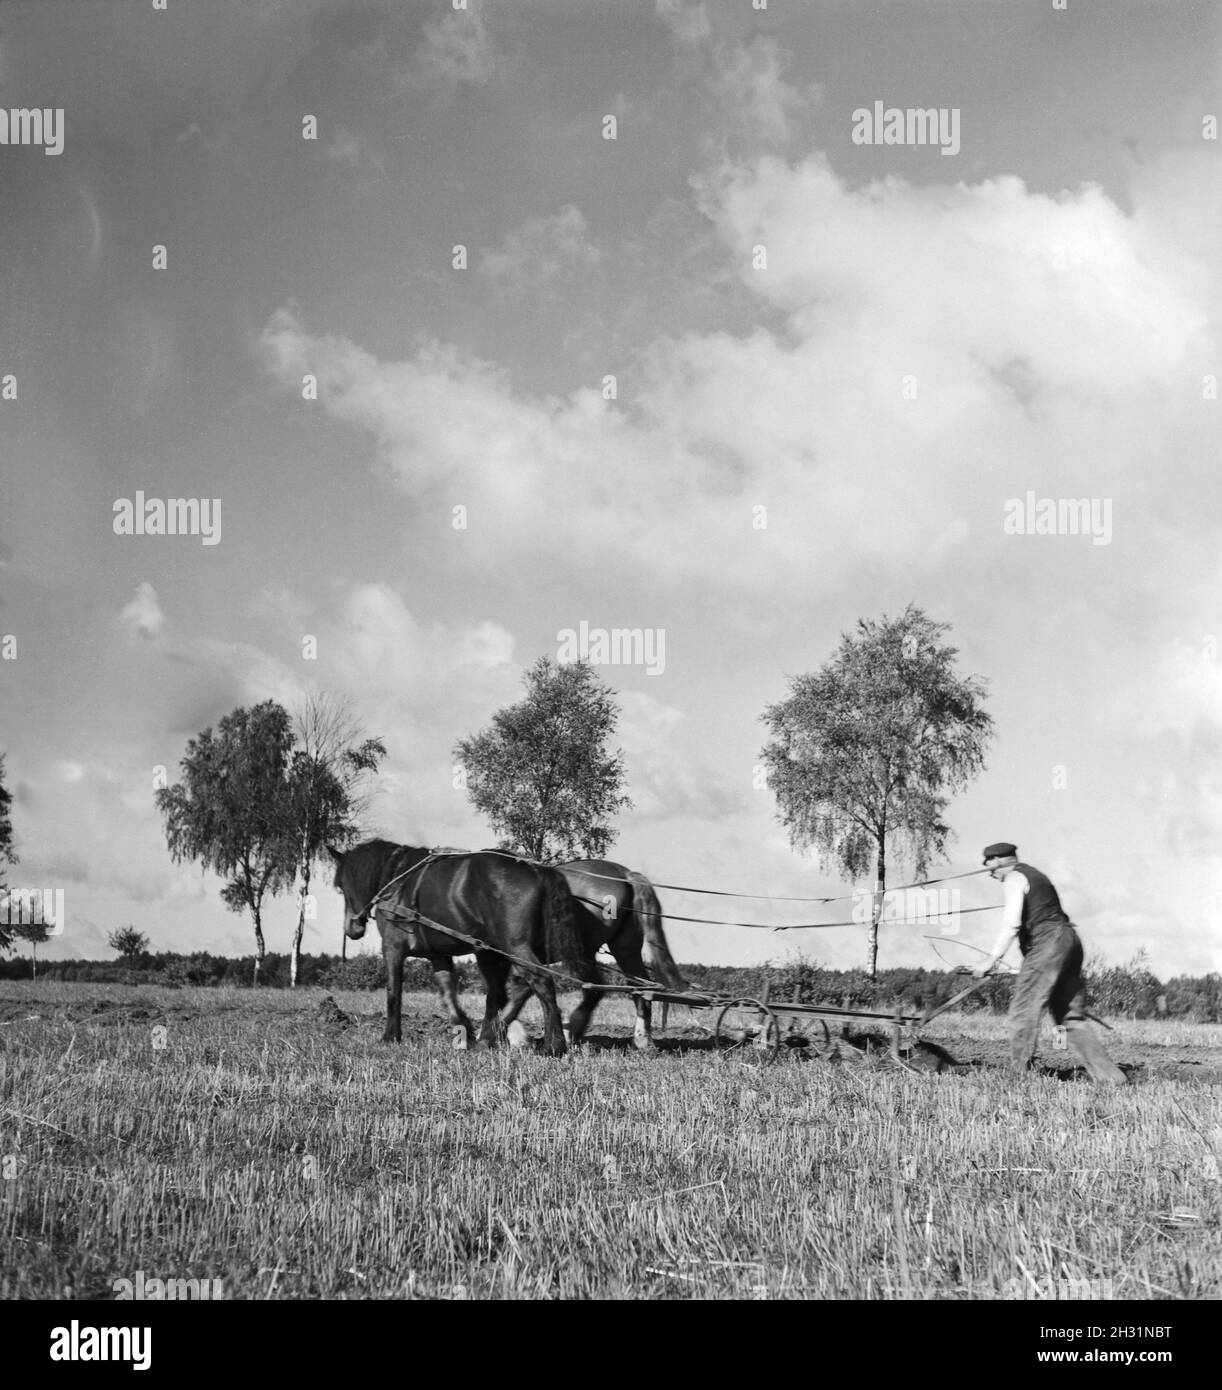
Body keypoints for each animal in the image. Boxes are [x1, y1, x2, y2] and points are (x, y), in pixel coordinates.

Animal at [326, 839, 589, 1056]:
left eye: (340, 885)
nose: (351, 928)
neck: (397, 880)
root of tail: (538, 870)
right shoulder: (438, 954)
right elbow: (447, 993)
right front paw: (464, 1032)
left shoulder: (392, 947)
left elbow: (394, 992)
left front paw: (390, 1037)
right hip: (494, 952)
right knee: (508, 991)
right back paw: (489, 1038)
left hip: (514, 948)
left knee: (540, 983)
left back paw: (553, 1045)